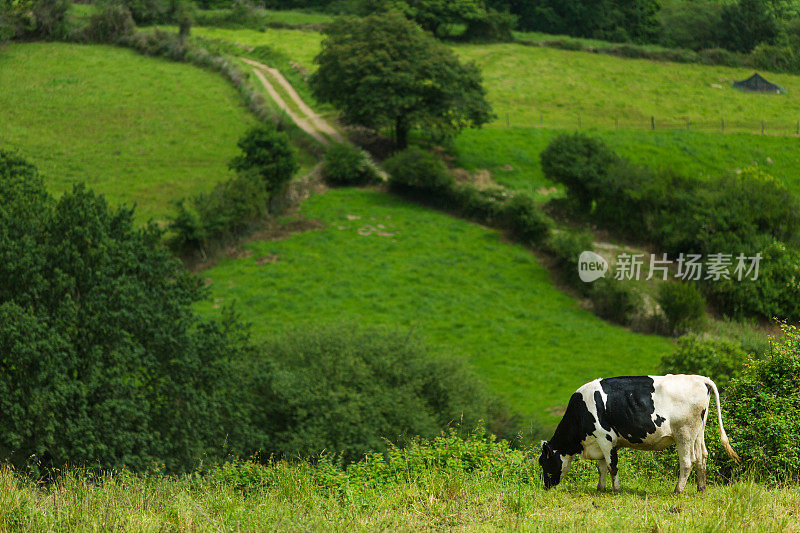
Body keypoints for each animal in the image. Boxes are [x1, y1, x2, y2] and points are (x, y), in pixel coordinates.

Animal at [540, 376, 740, 492]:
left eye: (543, 462)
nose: (545, 486)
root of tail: (699, 378)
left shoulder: (606, 438)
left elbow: (612, 466)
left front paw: (616, 489)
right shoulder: (598, 442)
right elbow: (601, 467)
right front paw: (600, 488)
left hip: (684, 433)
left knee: (687, 462)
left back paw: (678, 490)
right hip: (698, 432)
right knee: (702, 457)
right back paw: (701, 488)